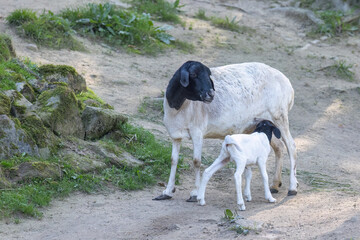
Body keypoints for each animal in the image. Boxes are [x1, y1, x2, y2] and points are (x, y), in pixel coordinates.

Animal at [153, 61, 296, 202]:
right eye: (193, 74)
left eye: (209, 74)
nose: (211, 94)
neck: (179, 107)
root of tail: (287, 83)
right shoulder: (175, 135)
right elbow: (173, 160)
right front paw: (167, 192)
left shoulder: (197, 132)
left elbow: (196, 161)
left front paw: (194, 193)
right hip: (261, 124)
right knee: (279, 146)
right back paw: (275, 185)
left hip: (279, 116)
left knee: (291, 146)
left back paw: (292, 188)